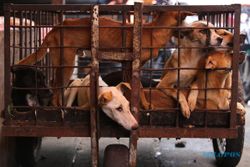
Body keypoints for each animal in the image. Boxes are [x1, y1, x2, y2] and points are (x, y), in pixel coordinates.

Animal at [17, 10, 194, 105]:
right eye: (185, 20)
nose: (192, 31)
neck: (152, 31)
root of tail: (55, 28)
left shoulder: (126, 65)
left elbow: (129, 86)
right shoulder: (134, 65)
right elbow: (139, 88)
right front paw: (145, 105)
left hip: (60, 60)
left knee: (55, 84)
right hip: (67, 62)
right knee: (56, 86)